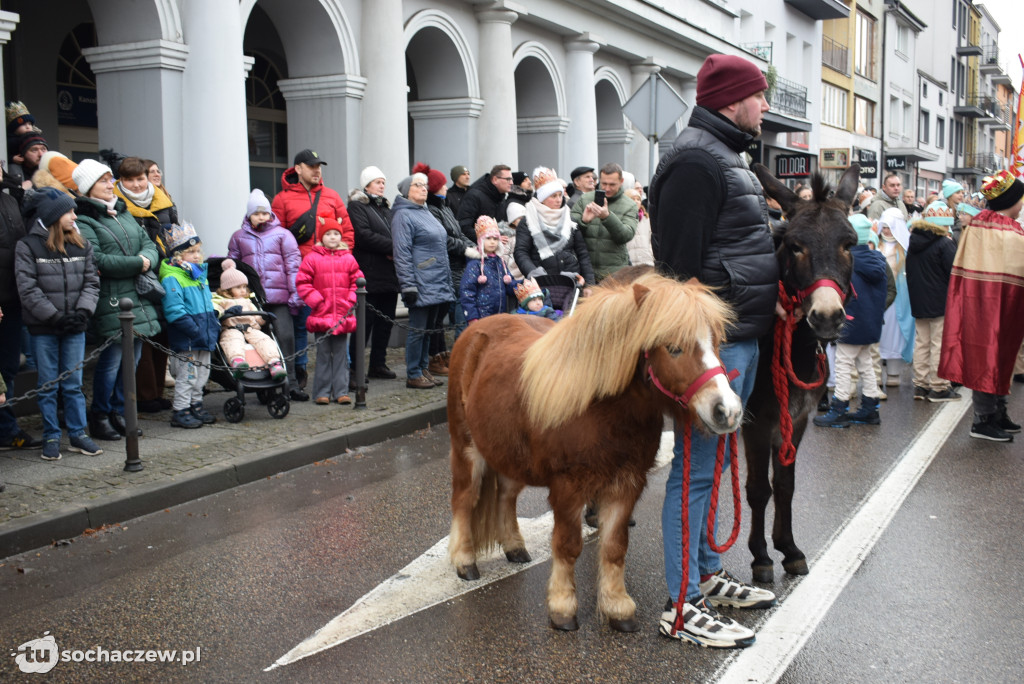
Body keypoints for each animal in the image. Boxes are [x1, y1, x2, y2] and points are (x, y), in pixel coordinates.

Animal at [448, 270, 745, 630]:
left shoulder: (626, 484)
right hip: (466, 448)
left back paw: (515, 547)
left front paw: (617, 607)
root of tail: (474, 331)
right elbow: (567, 546)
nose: (727, 411)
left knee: (505, 495)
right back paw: (465, 562)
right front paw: (562, 608)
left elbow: (615, 547)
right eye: (673, 348)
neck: (601, 409)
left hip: (508, 453)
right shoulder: (568, 487)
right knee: (465, 499)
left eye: (715, 341)